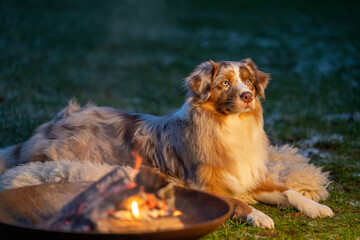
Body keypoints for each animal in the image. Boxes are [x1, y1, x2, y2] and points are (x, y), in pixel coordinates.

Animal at [0, 58, 332, 229]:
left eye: (248, 81)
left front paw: (315, 206)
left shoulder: (250, 177)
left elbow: (288, 190)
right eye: (225, 83)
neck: (230, 127)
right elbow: (238, 202)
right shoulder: (204, 186)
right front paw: (260, 215)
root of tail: (57, 119)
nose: (248, 96)